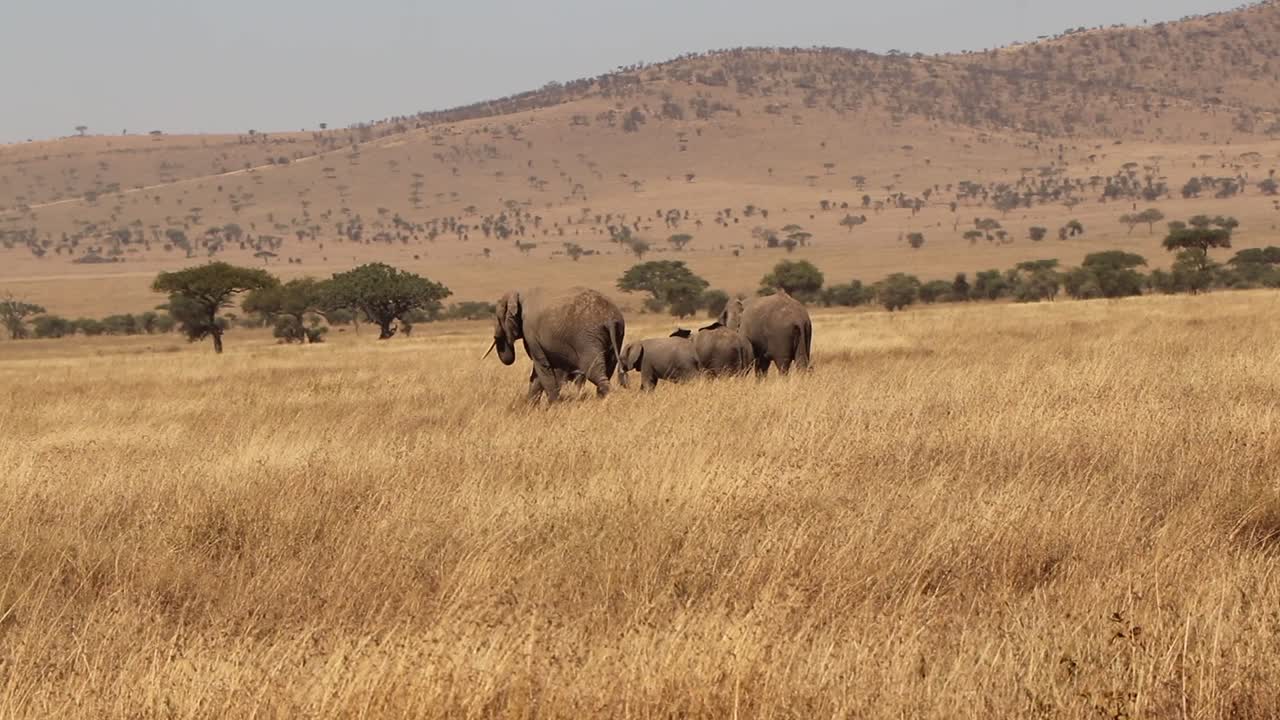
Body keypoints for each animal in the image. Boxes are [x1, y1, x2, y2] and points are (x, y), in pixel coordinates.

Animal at [486, 288, 626, 402]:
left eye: (498, 318)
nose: (498, 336)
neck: (519, 294)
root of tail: (609, 318)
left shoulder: (530, 333)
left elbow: (542, 366)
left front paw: (554, 406)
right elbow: (539, 373)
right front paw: (530, 407)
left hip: (587, 339)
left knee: (594, 371)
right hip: (616, 334)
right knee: (608, 370)